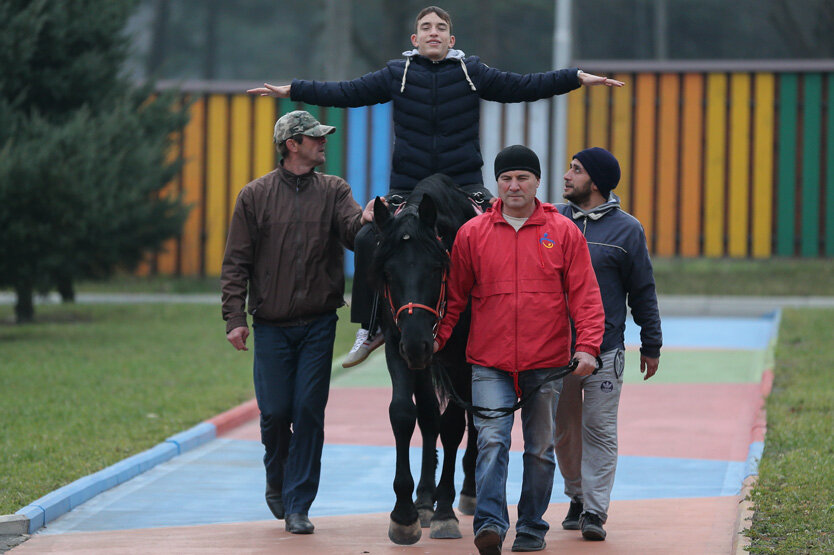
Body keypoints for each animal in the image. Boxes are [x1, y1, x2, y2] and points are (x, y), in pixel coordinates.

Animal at [368, 175, 478, 548]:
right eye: (387, 272)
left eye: (436, 268)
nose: (417, 343)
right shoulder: (397, 345)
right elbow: (404, 414)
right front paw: (405, 515)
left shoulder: (461, 359)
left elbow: (454, 425)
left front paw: (445, 512)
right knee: (429, 413)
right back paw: (426, 499)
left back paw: (466, 492)